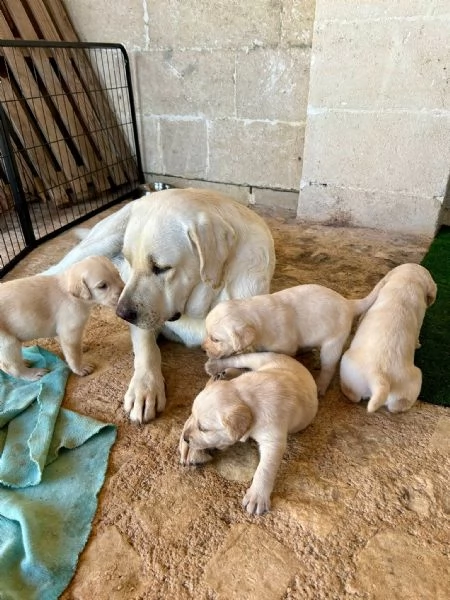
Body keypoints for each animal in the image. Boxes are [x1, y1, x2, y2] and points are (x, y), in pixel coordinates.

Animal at [43, 188, 274, 422]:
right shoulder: (144, 321)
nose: (121, 314)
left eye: (161, 268)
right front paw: (144, 389)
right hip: (101, 243)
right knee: (52, 272)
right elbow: (147, 349)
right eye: (130, 261)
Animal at [178, 352, 318, 516]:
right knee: (238, 360)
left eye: (204, 429)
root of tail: (293, 360)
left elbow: (265, 468)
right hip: (258, 358)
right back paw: (216, 368)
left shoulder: (273, 438)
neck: (246, 398)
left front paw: (257, 497)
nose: (186, 438)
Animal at [204, 282, 384, 396]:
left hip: (332, 344)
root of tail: (349, 303)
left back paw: (321, 386)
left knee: (328, 368)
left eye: (215, 339)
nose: (203, 349)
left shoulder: (284, 348)